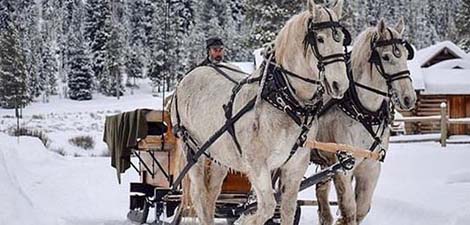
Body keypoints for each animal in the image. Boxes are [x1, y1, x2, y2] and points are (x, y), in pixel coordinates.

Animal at [171, 0, 350, 224]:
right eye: (320, 38)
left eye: (341, 38)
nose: (340, 84)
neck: (285, 100)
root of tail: (188, 76)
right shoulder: (256, 166)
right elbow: (266, 207)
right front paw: (245, 219)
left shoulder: (295, 165)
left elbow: (287, 209)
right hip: (194, 151)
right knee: (199, 196)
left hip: (220, 157)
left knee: (211, 195)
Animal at [312, 18, 414, 225]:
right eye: (386, 57)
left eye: (406, 55)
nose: (409, 98)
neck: (362, 111)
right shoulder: (342, 168)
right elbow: (349, 210)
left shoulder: (371, 167)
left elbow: (361, 209)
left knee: (320, 190)